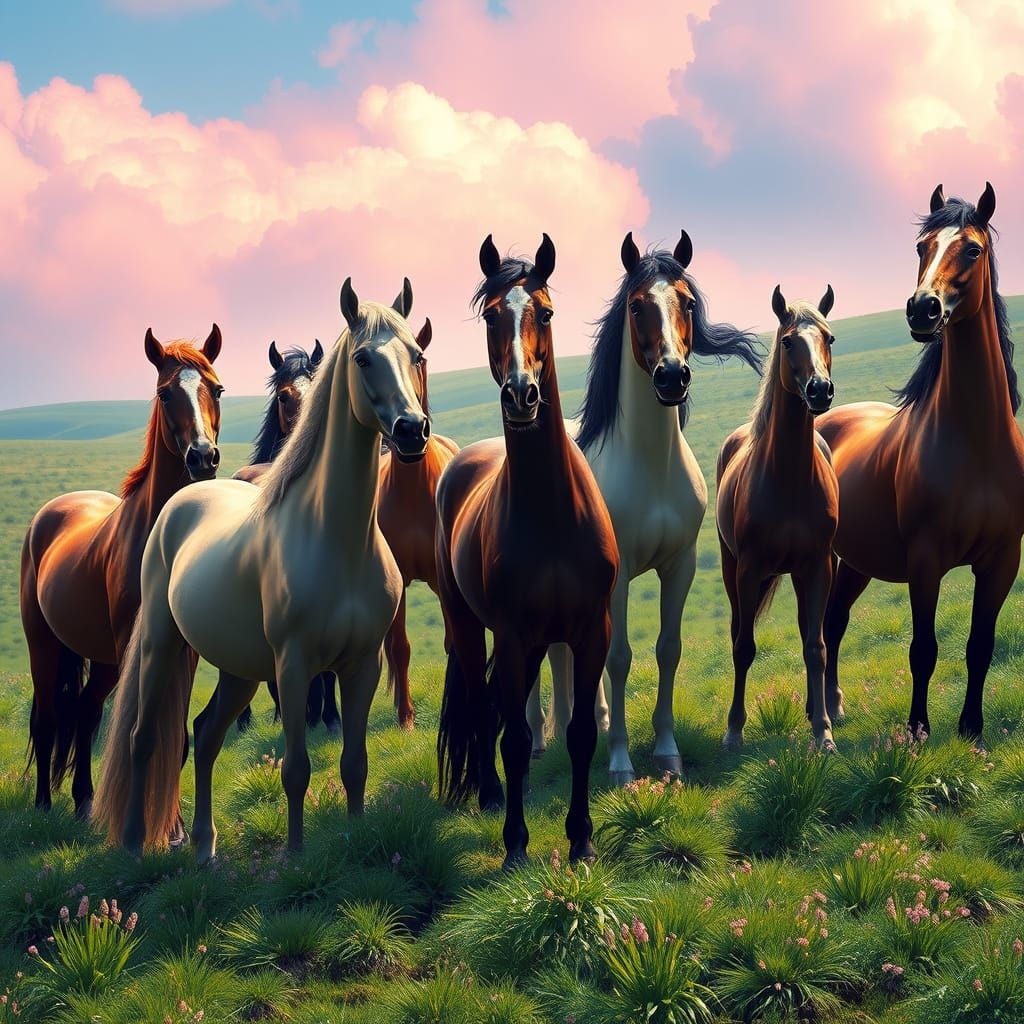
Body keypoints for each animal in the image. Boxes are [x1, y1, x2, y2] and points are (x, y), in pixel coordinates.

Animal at [19, 327, 223, 819]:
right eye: (165, 393)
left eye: (217, 389)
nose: (202, 458)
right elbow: (138, 732)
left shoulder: (183, 652)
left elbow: (176, 739)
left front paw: (172, 825)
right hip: (45, 647)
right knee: (48, 720)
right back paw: (44, 806)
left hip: (104, 660)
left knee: (86, 712)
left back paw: (84, 801)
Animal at [436, 234, 619, 868]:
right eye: (493, 316)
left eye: (545, 312)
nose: (521, 394)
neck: (551, 514)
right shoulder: (514, 635)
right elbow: (515, 737)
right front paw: (516, 844)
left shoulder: (590, 630)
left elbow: (581, 732)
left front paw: (582, 839)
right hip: (469, 623)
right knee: (480, 702)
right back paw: (490, 795)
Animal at [527, 231, 762, 783]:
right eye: (637, 306)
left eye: (688, 303)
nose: (671, 376)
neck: (650, 465)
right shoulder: (618, 577)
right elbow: (619, 658)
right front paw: (619, 762)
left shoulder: (679, 567)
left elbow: (666, 650)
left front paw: (667, 752)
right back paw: (545, 738)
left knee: (566, 653)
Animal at [716, 285, 839, 751]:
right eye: (788, 341)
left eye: (829, 337)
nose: (820, 390)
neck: (788, 477)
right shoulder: (749, 570)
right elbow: (744, 647)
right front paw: (734, 730)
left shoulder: (818, 567)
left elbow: (815, 647)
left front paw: (823, 732)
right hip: (730, 567)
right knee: (738, 630)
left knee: (811, 633)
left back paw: (814, 710)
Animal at [818, 182, 1024, 741]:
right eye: (921, 247)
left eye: (972, 249)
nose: (922, 311)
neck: (975, 441)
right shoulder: (926, 561)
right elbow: (923, 650)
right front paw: (917, 731)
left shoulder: (1002, 561)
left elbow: (980, 647)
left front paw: (972, 732)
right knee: (823, 629)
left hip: (856, 560)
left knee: (834, 623)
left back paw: (835, 707)